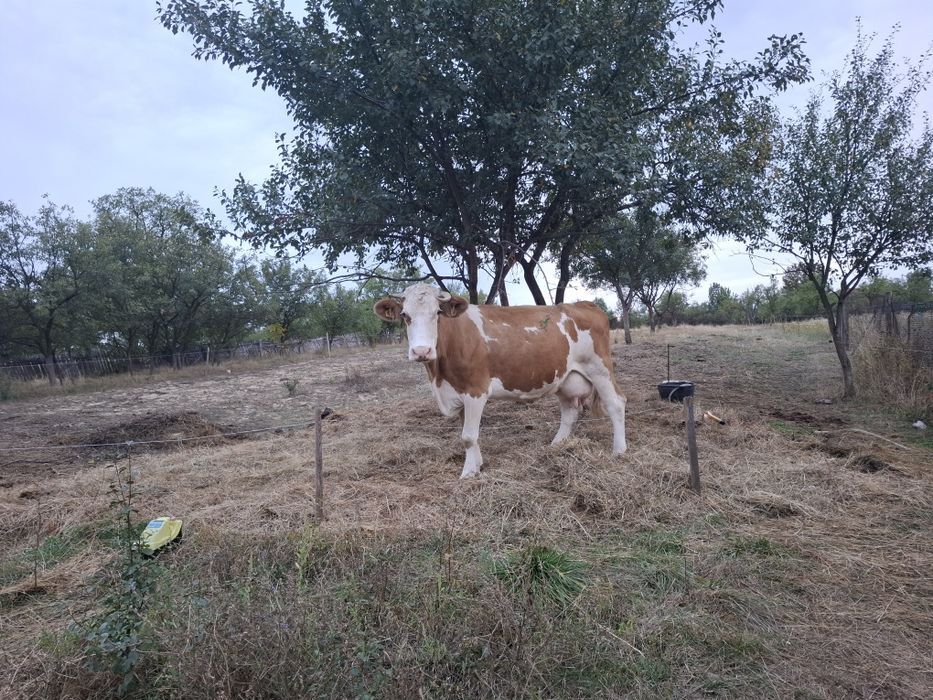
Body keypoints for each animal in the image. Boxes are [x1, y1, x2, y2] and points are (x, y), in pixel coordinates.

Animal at [374, 284, 627, 478]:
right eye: (405, 315)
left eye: (437, 313)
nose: (421, 351)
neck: (439, 376)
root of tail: (583, 304)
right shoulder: (459, 391)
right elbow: (469, 435)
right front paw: (477, 465)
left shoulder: (475, 389)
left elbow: (468, 436)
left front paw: (468, 473)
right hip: (565, 377)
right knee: (569, 411)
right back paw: (557, 445)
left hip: (600, 368)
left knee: (616, 403)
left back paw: (619, 450)